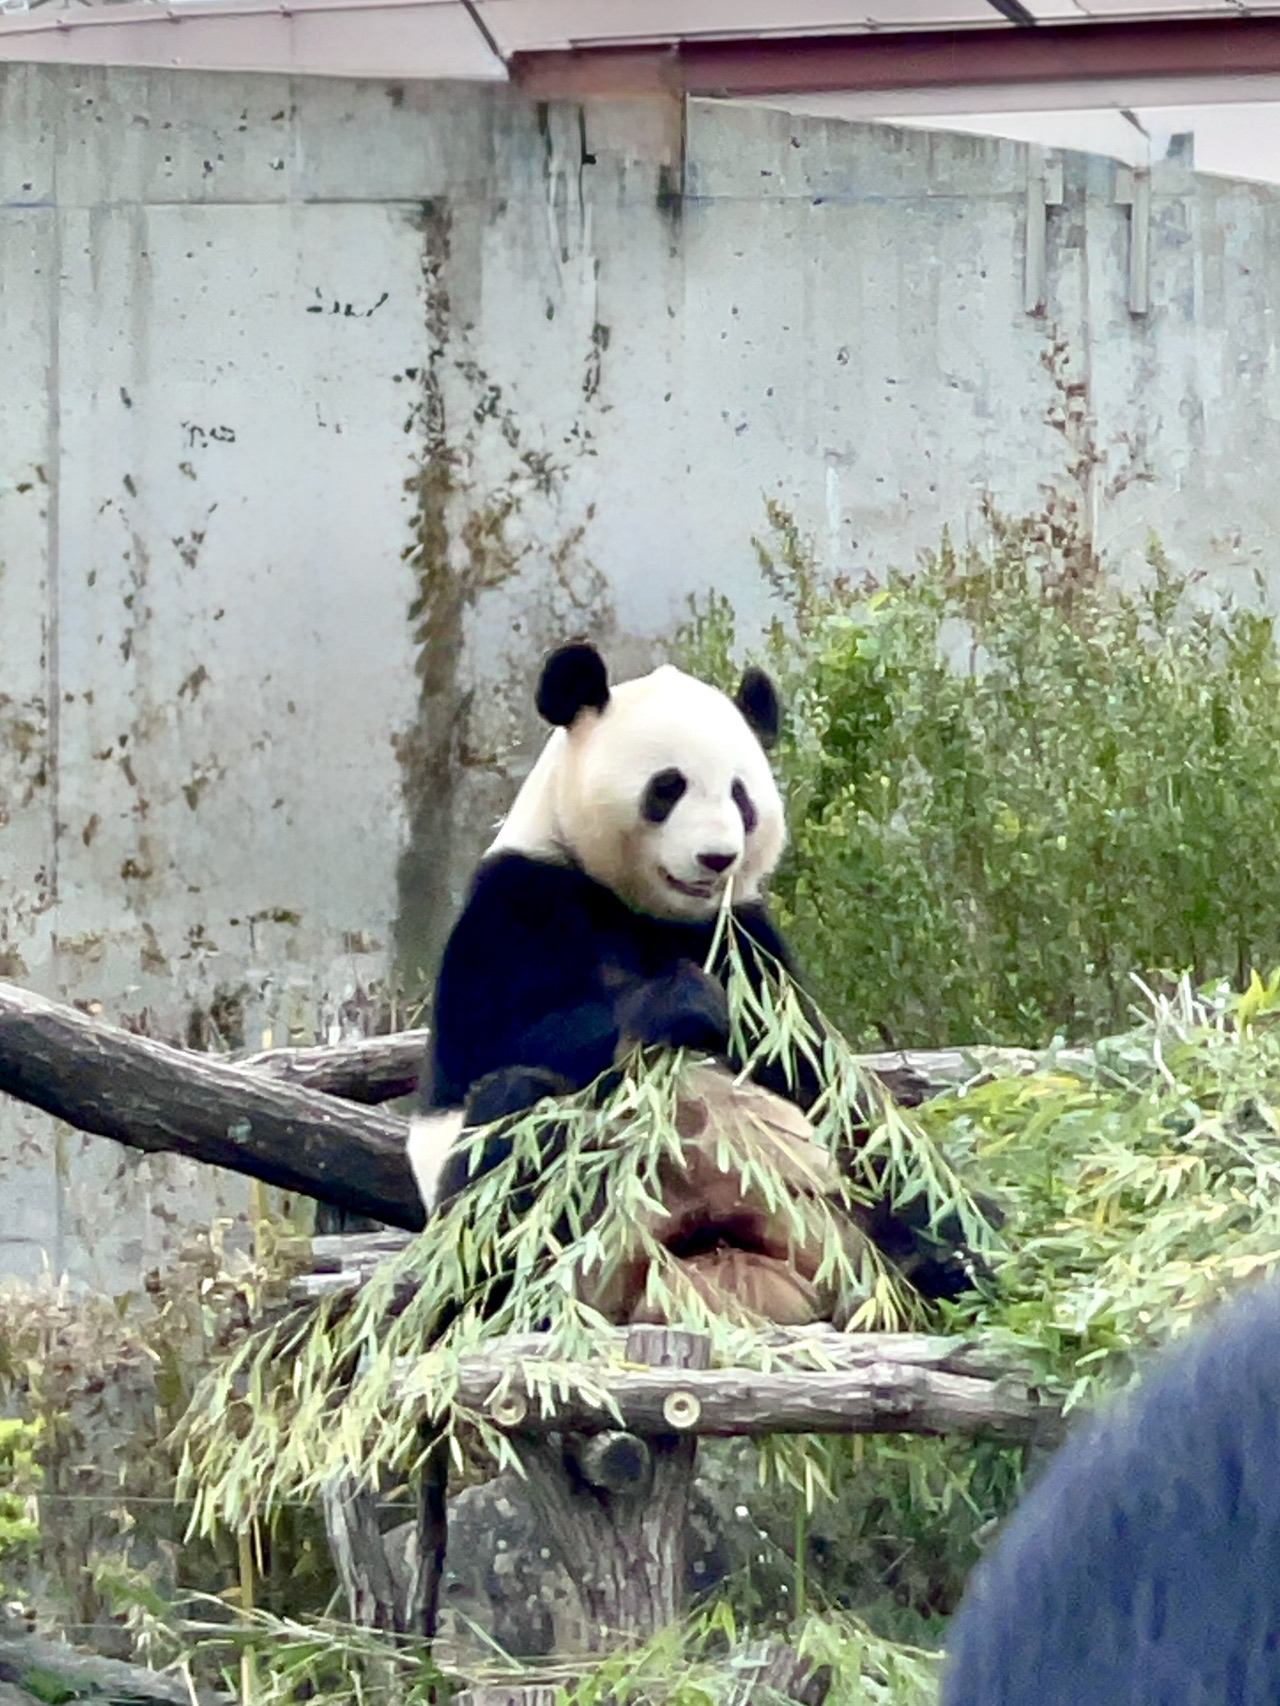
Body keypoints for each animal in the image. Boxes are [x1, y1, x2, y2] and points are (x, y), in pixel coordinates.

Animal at [408, 641, 985, 1299]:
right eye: (667, 788)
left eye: (741, 796)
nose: (716, 857)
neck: (646, 910)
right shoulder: (515, 905)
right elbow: (493, 1045)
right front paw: (686, 1002)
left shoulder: (748, 941)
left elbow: (821, 1077)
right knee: (514, 1122)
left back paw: (950, 1257)